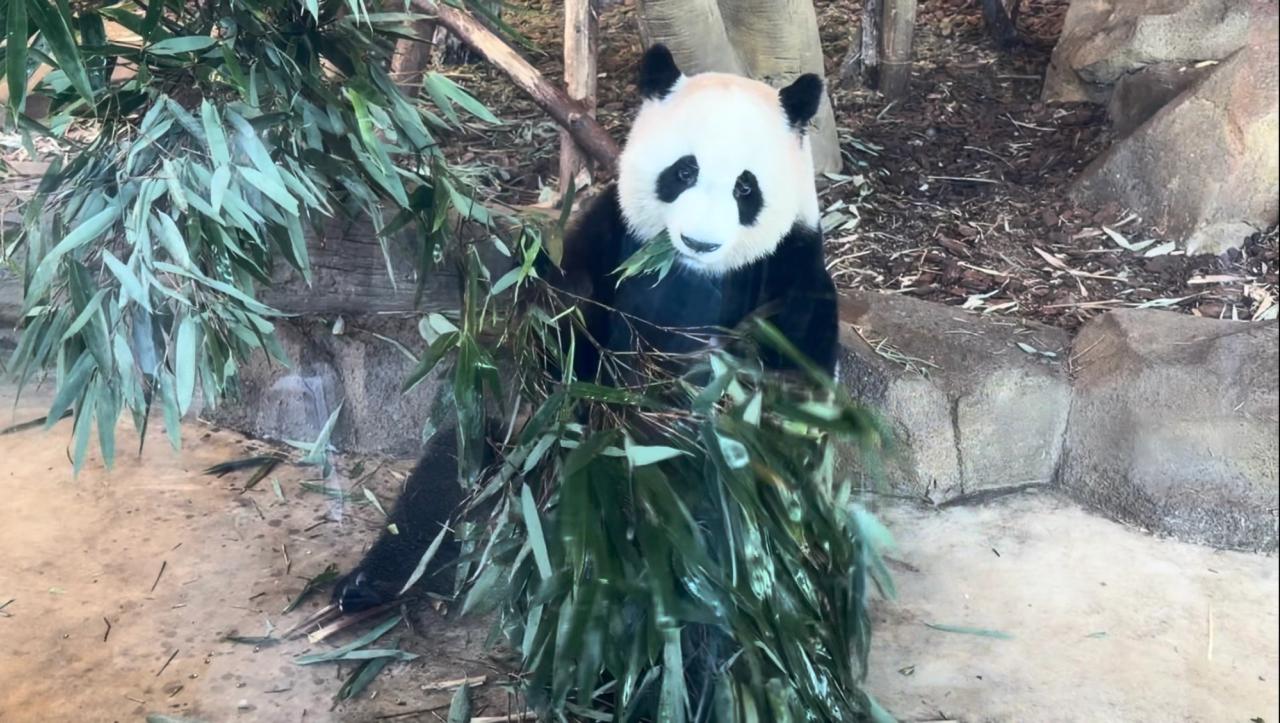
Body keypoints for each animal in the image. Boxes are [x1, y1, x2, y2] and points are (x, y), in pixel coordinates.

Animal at [332, 44, 839, 615]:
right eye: (684, 171)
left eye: (745, 187)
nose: (700, 241)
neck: (690, 271)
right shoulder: (612, 233)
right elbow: (559, 329)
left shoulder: (789, 266)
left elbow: (786, 388)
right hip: (507, 449)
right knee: (455, 472)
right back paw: (370, 583)